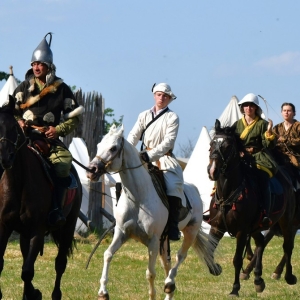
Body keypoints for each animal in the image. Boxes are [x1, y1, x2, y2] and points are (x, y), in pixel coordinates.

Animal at [0, 96, 81, 300]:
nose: (5, 158)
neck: (19, 183)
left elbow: (27, 272)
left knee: (60, 264)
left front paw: (35, 293)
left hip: (67, 227)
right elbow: (7, 264)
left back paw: (55, 294)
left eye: (12, 128)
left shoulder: (37, 230)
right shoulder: (5, 226)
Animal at [85, 125, 219, 300]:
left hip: (190, 231)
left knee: (179, 257)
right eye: (99, 145)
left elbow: (150, 273)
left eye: (113, 148)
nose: (91, 170)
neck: (138, 197)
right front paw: (103, 292)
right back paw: (169, 292)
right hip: (165, 240)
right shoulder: (122, 234)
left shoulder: (153, 240)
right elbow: (107, 254)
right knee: (167, 263)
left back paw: (169, 283)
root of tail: (194, 191)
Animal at [206, 119, 296, 298]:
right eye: (212, 144)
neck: (229, 193)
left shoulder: (241, 232)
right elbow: (209, 252)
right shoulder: (216, 227)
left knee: (287, 247)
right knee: (261, 242)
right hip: (257, 227)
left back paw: (288, 276)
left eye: (228, 146)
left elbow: (237, 259)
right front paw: (216, 268)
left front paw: (235, 289)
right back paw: (258, 279)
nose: (212, 171)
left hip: (287, 222)